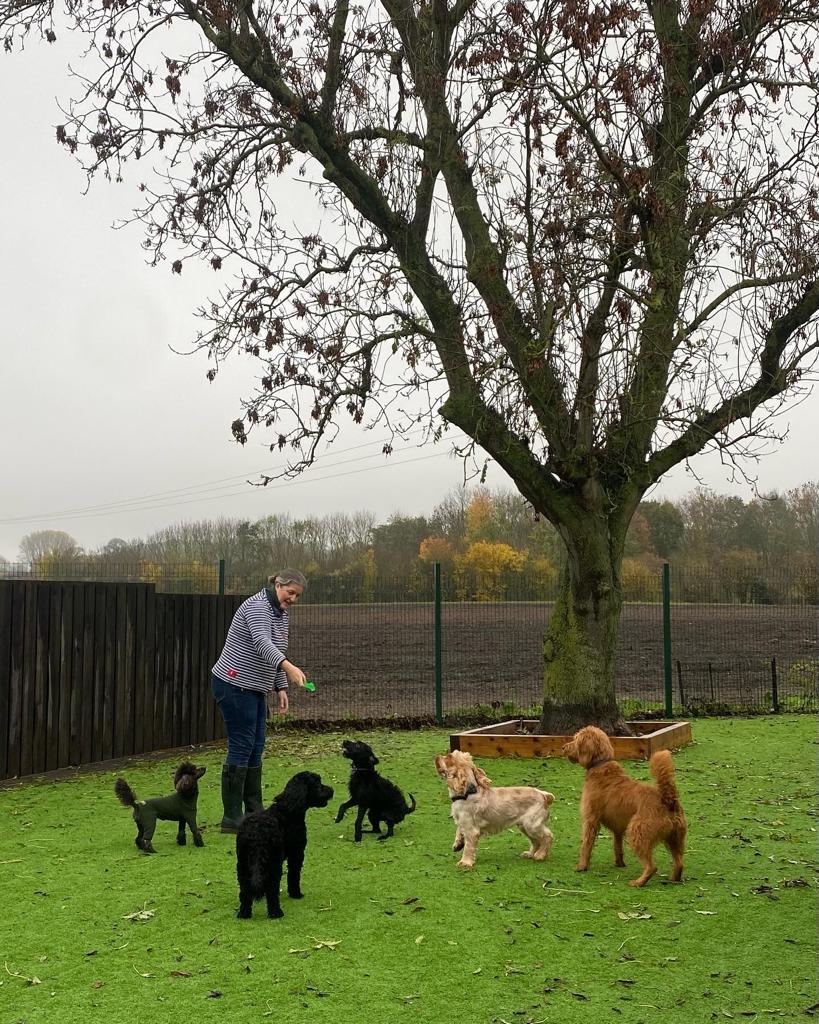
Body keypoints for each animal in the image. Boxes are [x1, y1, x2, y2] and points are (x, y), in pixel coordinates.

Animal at [236, 771, 333, 919]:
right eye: (318, 783)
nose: (332, 790)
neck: (287, 811)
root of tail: (256, 833)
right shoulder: (297, 854)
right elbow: (294, 875)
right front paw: (296, 893)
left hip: (243, 863)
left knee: (245, 890)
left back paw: (244, 913)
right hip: (274, 863)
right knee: (272, 889)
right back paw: (276, 912)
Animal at [562, 725, 687, 887]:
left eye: (576, 739)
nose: (563, 747)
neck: (601, 764)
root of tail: (668, 800)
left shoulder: (590, 820)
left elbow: (586, 845)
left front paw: (582, 866)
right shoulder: (618, 827)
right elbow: (617, 846)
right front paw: (619, 863)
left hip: (637, 832)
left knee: (652, 867)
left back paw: (638, 882)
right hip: (675, 838)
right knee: (679, 863)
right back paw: (673, 879)